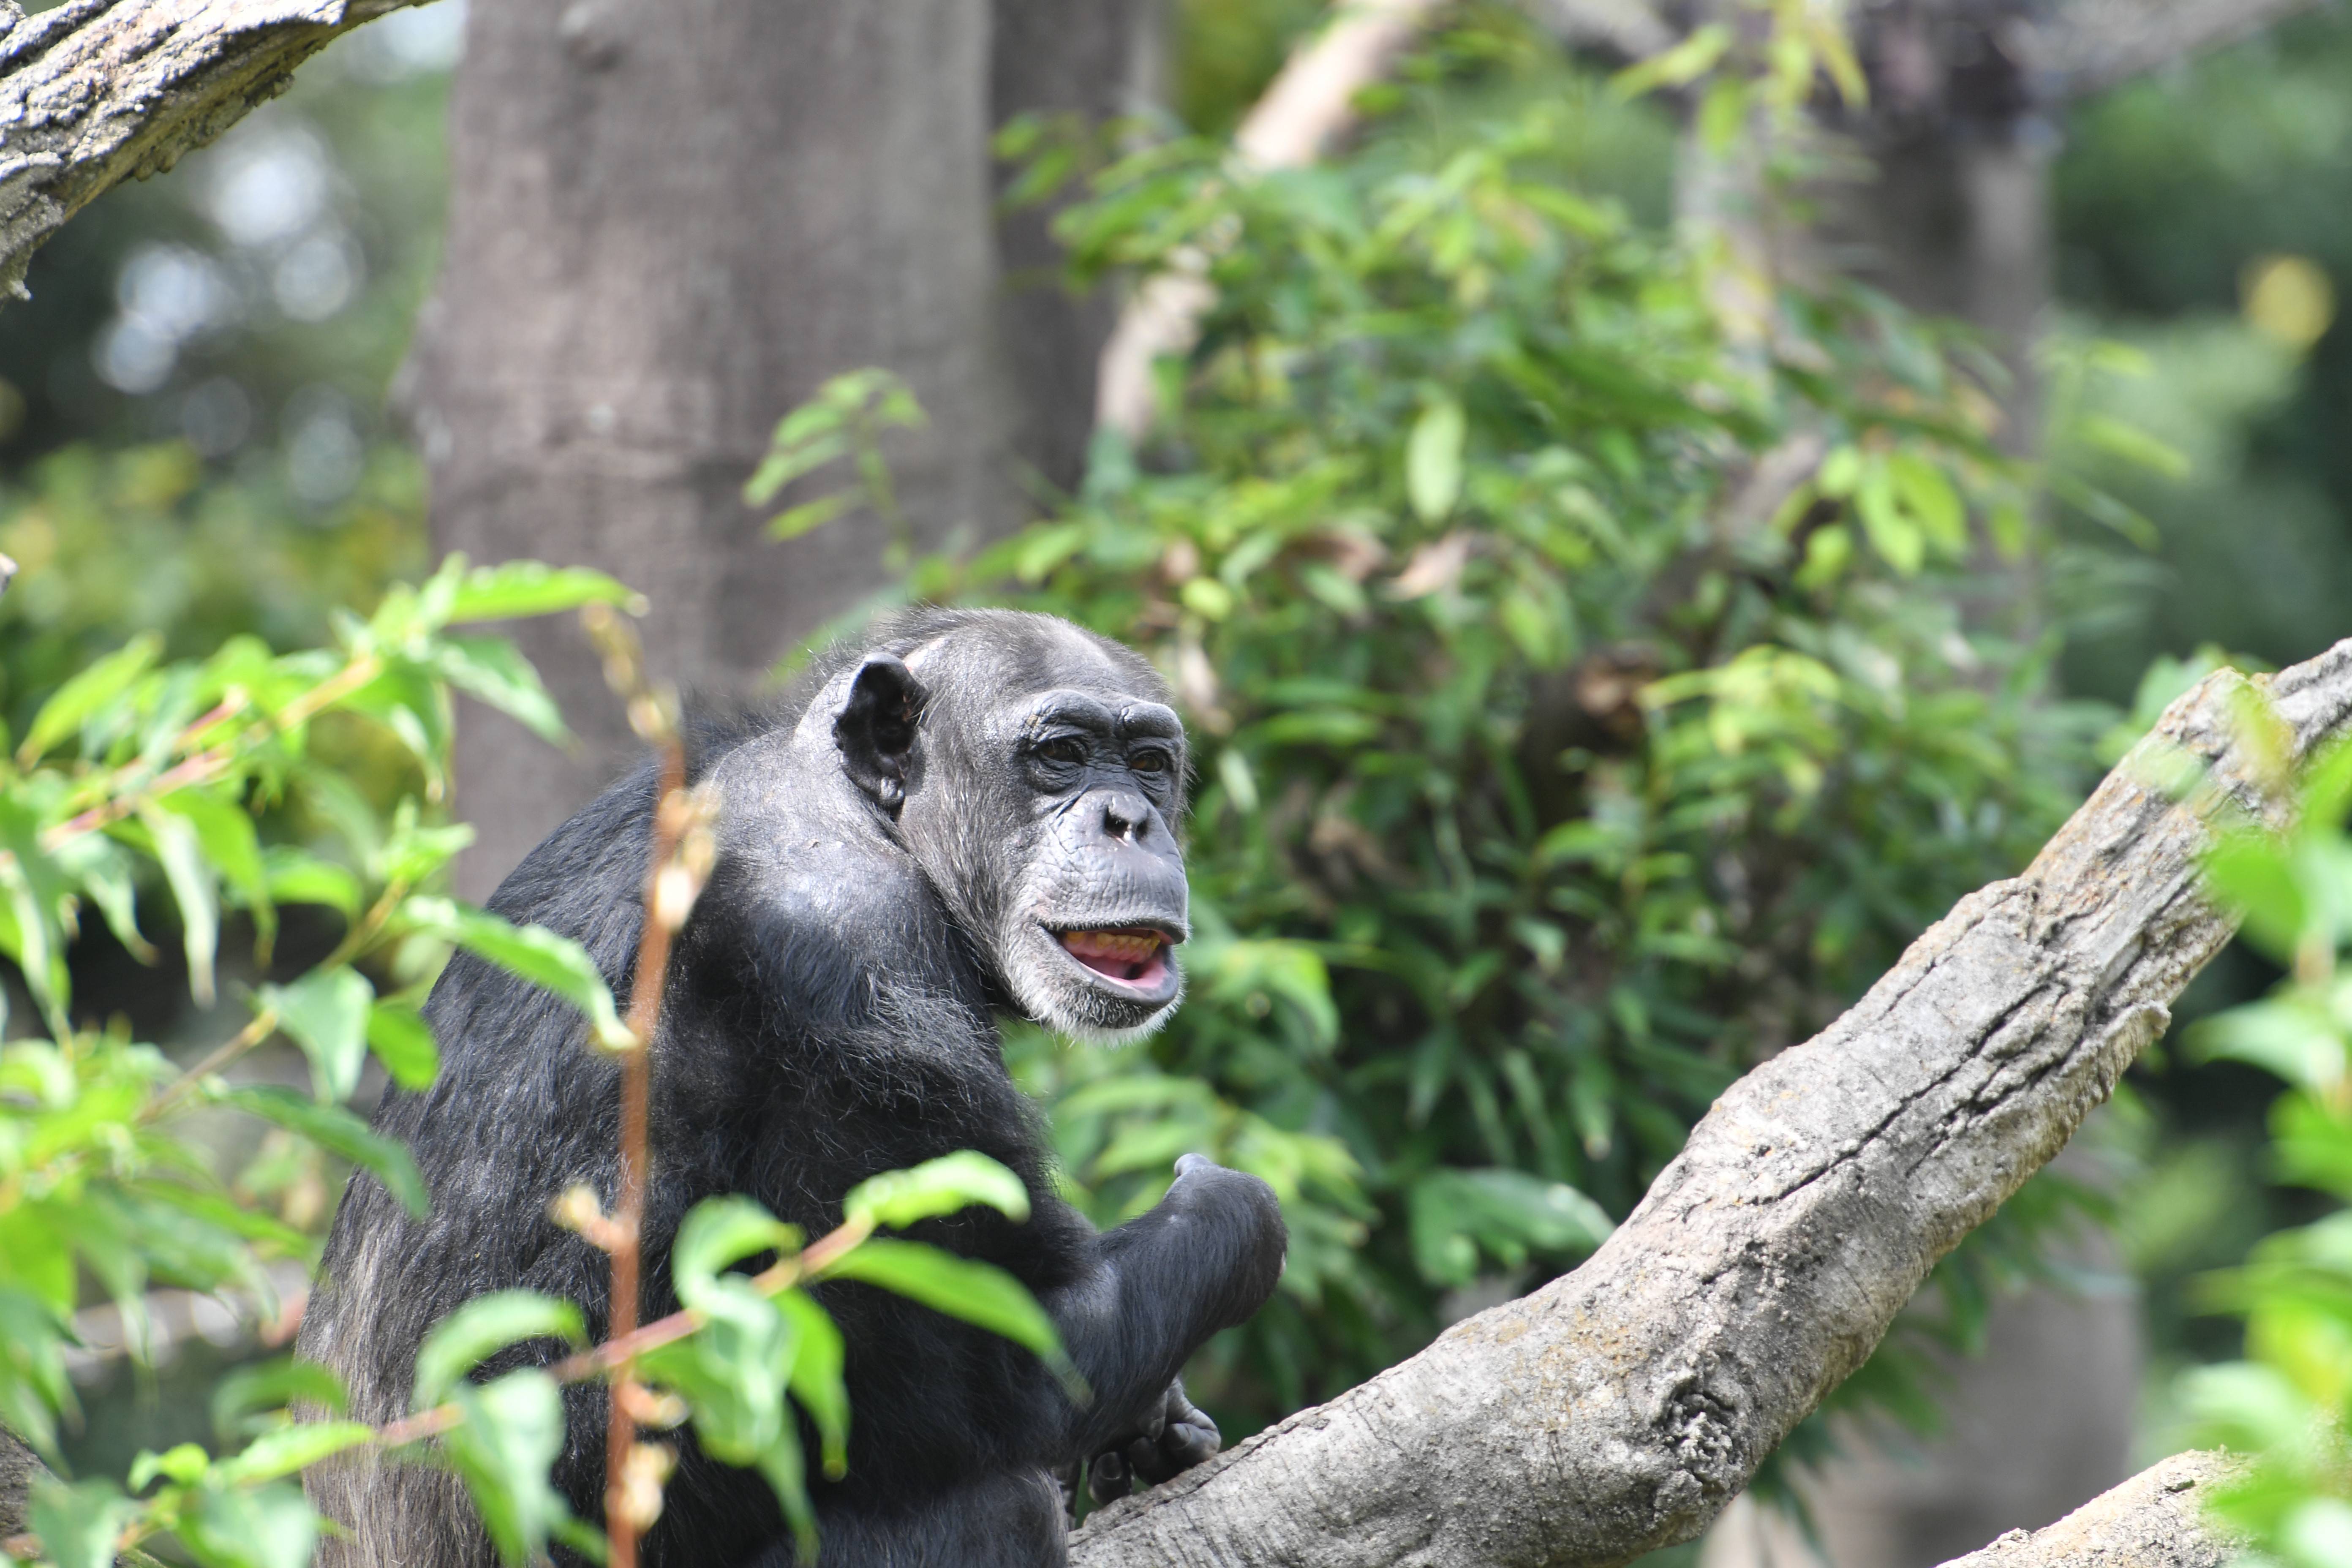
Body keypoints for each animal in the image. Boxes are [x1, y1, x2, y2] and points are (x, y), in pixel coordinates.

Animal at [299, 611, 1289, 1568]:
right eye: (1062, 754)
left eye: (1150, 764)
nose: (1129, 820)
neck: (857, 808)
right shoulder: (846, 960)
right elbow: (997, 1367)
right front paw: (1227, 1206)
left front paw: (1162, 1429)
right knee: (996, 1502)